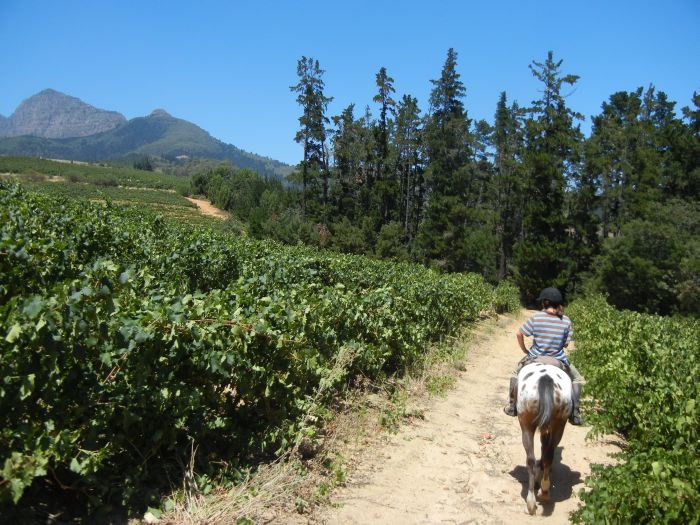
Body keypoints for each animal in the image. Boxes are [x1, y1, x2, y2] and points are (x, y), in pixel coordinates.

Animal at [516, 358, 572, 512]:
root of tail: (546, 379)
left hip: (526, 422)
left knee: (533, 458)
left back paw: (534, 498)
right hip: (558, 424)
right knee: (546, 456)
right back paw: (541, 493)